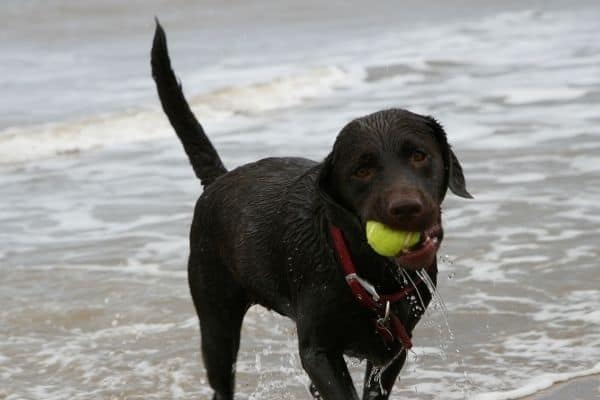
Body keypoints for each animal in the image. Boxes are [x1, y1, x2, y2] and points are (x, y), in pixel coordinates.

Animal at [151, 21, 474, 400]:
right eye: (361, 170)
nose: (407, 207)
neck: (366, 271)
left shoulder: (391, 349)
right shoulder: (317, 352)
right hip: (216, 318)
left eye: (419, 155)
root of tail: (218, 180)